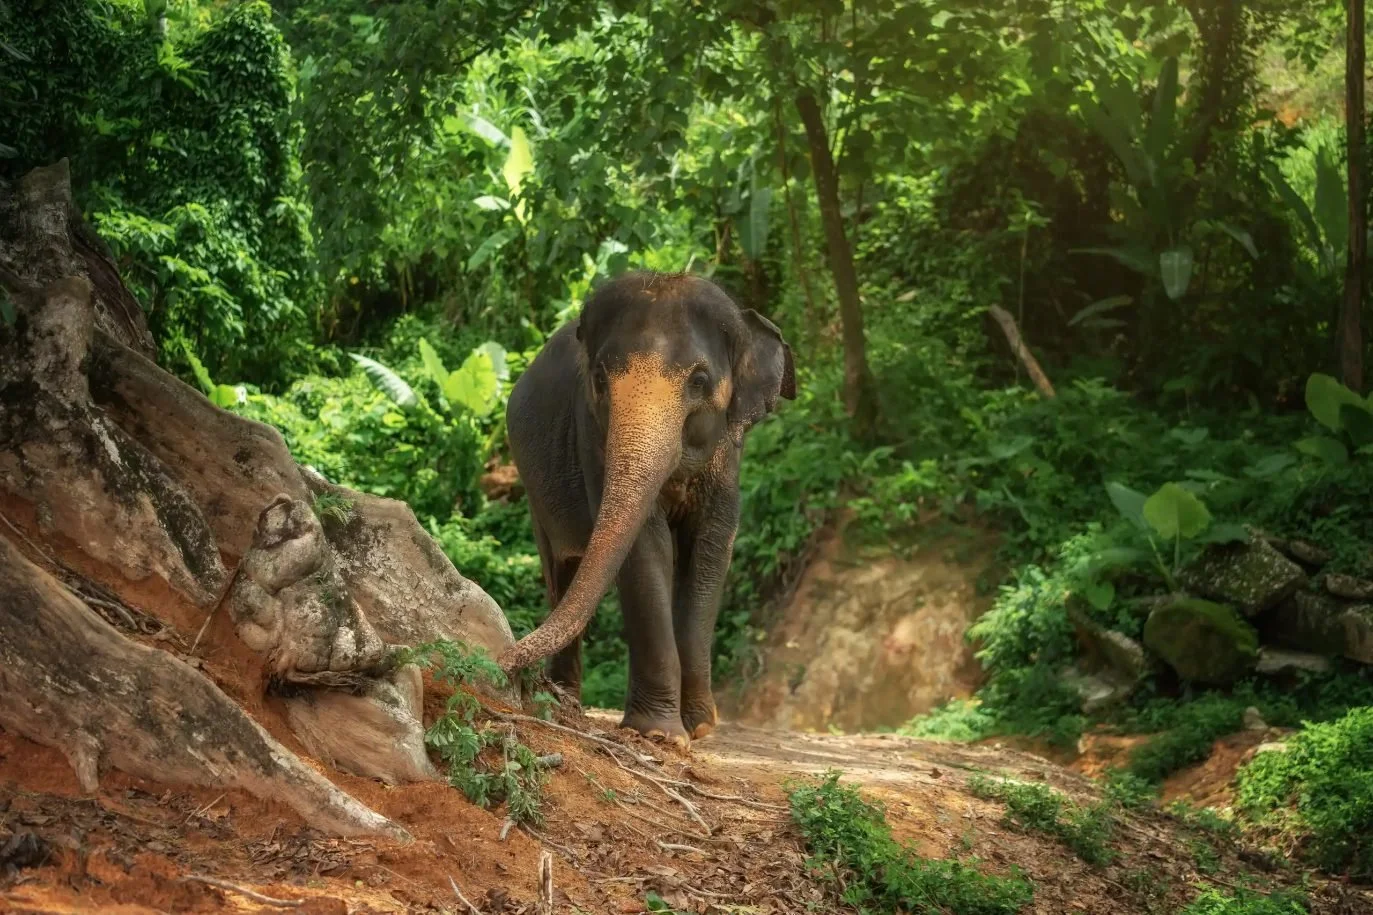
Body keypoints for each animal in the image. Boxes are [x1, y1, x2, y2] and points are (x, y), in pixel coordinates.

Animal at [497, 270, 795, 745]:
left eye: (699, 381)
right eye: (600, 379)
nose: (499, 660)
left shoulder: (729, 456)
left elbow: (711, 548)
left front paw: (699, 727)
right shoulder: (591, 436)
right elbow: (646, 548)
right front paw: (659, 735)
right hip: (533, 489)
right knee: (560, 570)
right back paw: (567, 702)